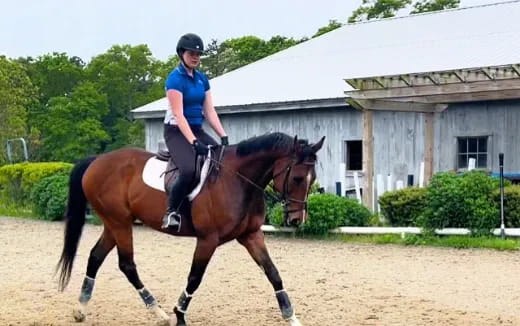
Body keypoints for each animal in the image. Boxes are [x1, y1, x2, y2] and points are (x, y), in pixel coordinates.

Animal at [58, 132, 324, 326]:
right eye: (298, 178)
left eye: (312, 179)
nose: (296, 220)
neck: (238, 180)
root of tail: (97, 160)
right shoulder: (208, 239)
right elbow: (195, 277)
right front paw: (179, 315)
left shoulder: (251, 235)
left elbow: (273, 272)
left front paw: (291, 316)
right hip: (120, 223)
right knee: (127, 264)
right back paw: (159, 313)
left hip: (115, 224)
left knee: (96, 257)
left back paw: (81, 309)